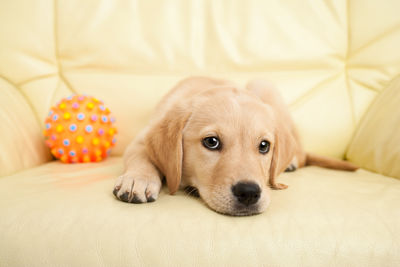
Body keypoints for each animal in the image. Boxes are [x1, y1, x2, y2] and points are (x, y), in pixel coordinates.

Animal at [111, 76, 356, 217]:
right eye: (211, 142)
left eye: (264, 146)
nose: (249, 193)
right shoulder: (142, 138)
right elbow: (141, 155)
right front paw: (138, 180)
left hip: (264, 85)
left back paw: (291, 162)